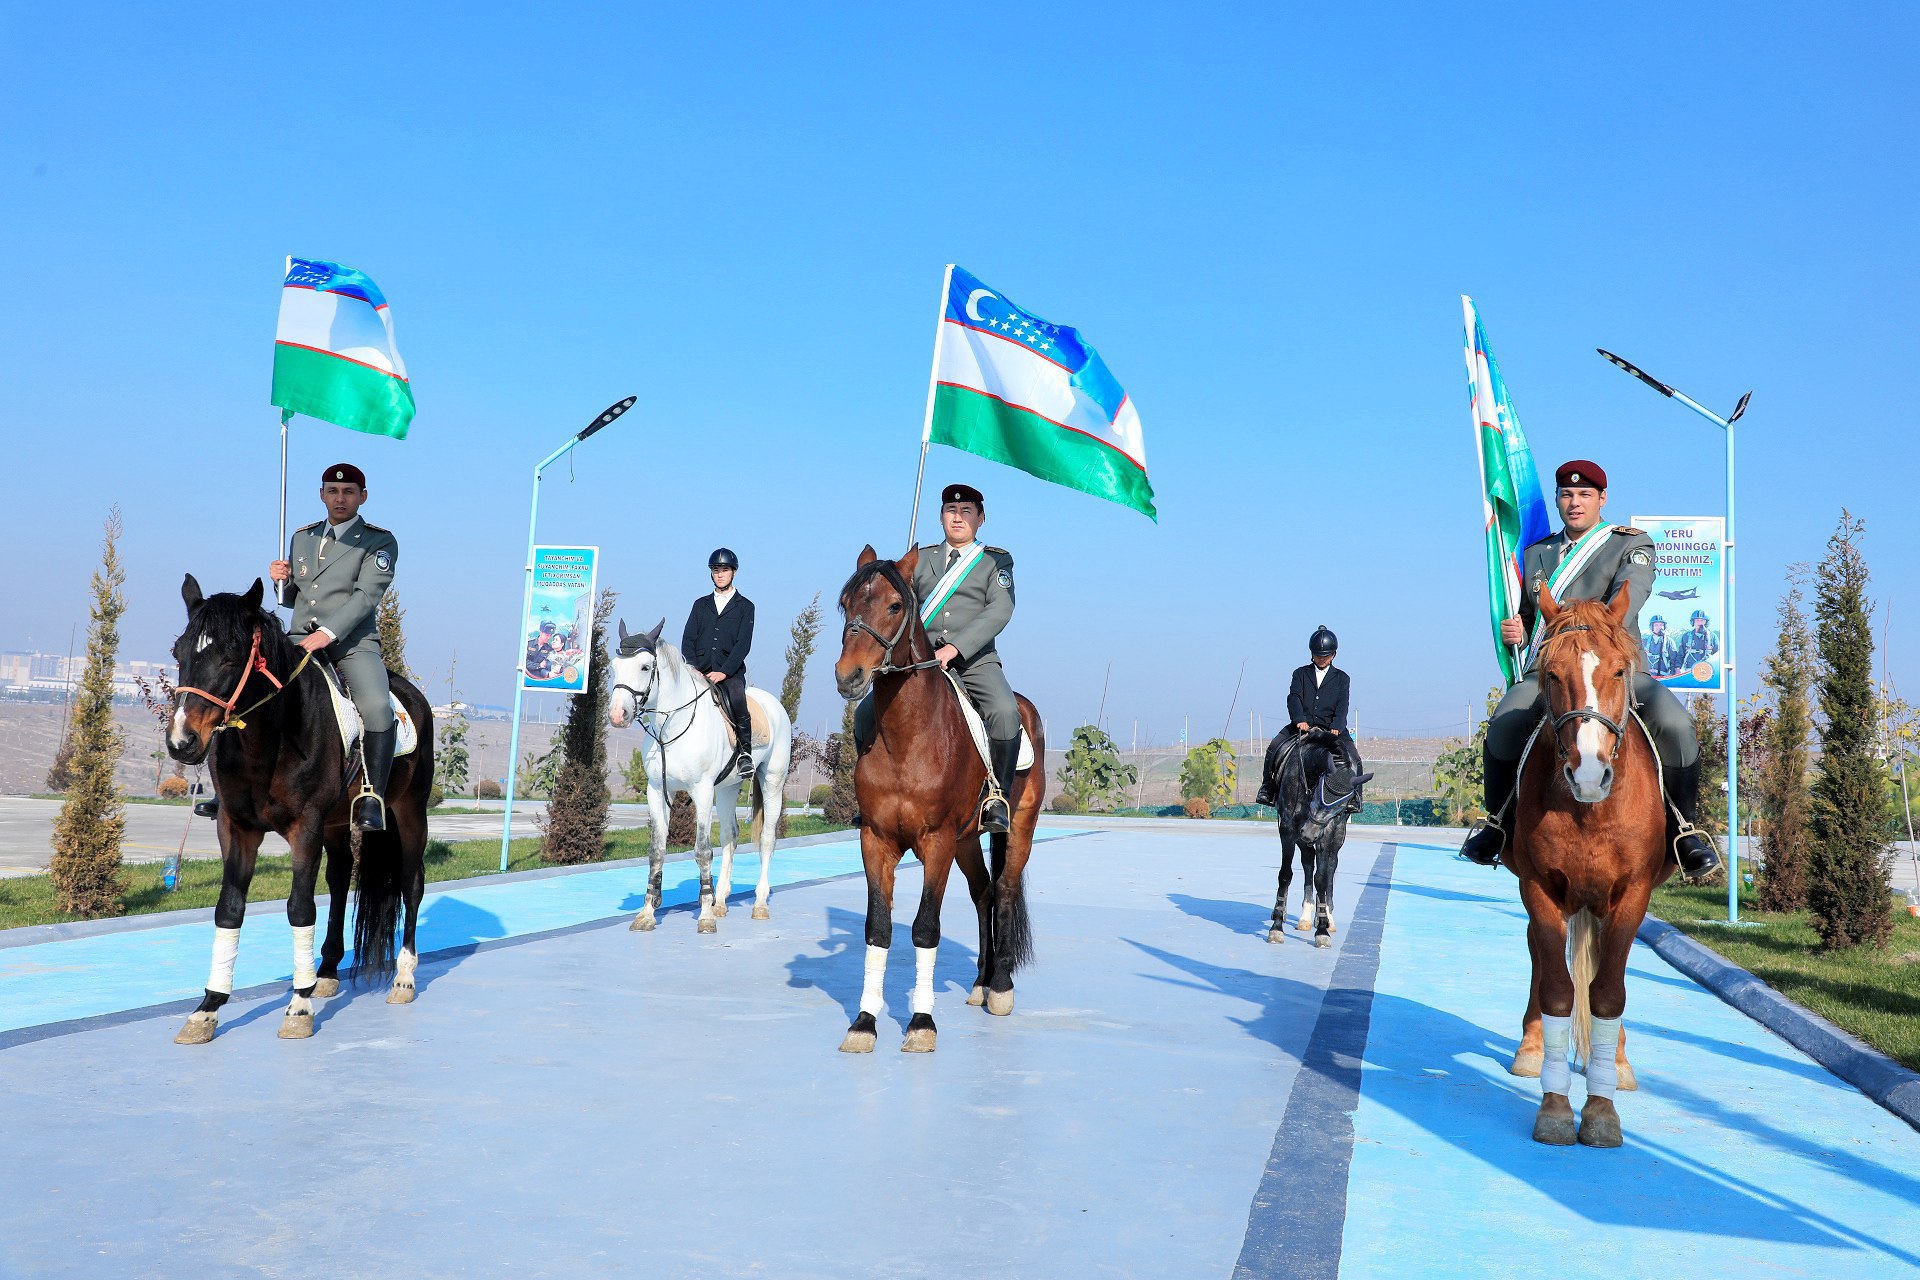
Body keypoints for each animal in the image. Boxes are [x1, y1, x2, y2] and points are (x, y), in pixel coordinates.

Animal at [164, 576, 433, 1043]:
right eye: (179, 653)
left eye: (231, 656)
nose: (182, 742)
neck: (269, 738)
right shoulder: (236, 828)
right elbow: (229, 909)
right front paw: (208, 1009)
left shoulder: (304, 827)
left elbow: (300, 907)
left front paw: (299, 1005)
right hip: (337, 823)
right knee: (341, 879)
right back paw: (327, 971)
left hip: (410, 811)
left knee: (410, 884)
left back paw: (403, 978)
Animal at [607, 618, 793, 932]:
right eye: (614, 666)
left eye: (645, 667)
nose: (618, 715)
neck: (672, 725)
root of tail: (773, 704)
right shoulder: (657, 790)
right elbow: (656, 851)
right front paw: (647, 913)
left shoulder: (702, 791)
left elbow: (703, 850)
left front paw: (705, 916)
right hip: (728, 788)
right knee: (730, 836)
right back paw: (721, 901)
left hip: (773, 781)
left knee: (768, 838)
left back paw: (759, 903)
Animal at [831, 544, 1046, 1053]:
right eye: (845, 605)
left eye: (895, 605)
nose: (849, 676)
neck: (908, 738)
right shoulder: (876, 840)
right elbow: (878, 928)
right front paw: (864, 1022)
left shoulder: (936, 842)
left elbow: (925, 928)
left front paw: (921, 1022)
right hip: (967, 841)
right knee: (983, 892)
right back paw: (982, 982)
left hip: (1018, 828)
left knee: (1005, 890)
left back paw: (1000, 986)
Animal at [1266, 728, 1373, 948]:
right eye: (1318, 792)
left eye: (1342, 806)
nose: (1309, 833)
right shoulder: (1288, 828)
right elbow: (1285, 874)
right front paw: (1277, 927)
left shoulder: (1330, 832)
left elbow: (1322, 879)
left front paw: (1322, 929)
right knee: (1307, 863)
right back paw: (1304, 916)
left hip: (1334, 838)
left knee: (1329, 868)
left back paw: (1325, 917)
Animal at [1504, 586, 1671, 1148]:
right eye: (1552, 674)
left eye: (1620, 670)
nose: (1590, 773)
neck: (1591, 809)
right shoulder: (1539, 889)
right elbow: (1558, 991)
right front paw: (1555, 1108)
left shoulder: (1632, 896)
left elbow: (1608, 994)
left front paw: (1601, 1110)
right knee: (1542, 962)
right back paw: (1531, 1050)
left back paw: (1616, 1061)